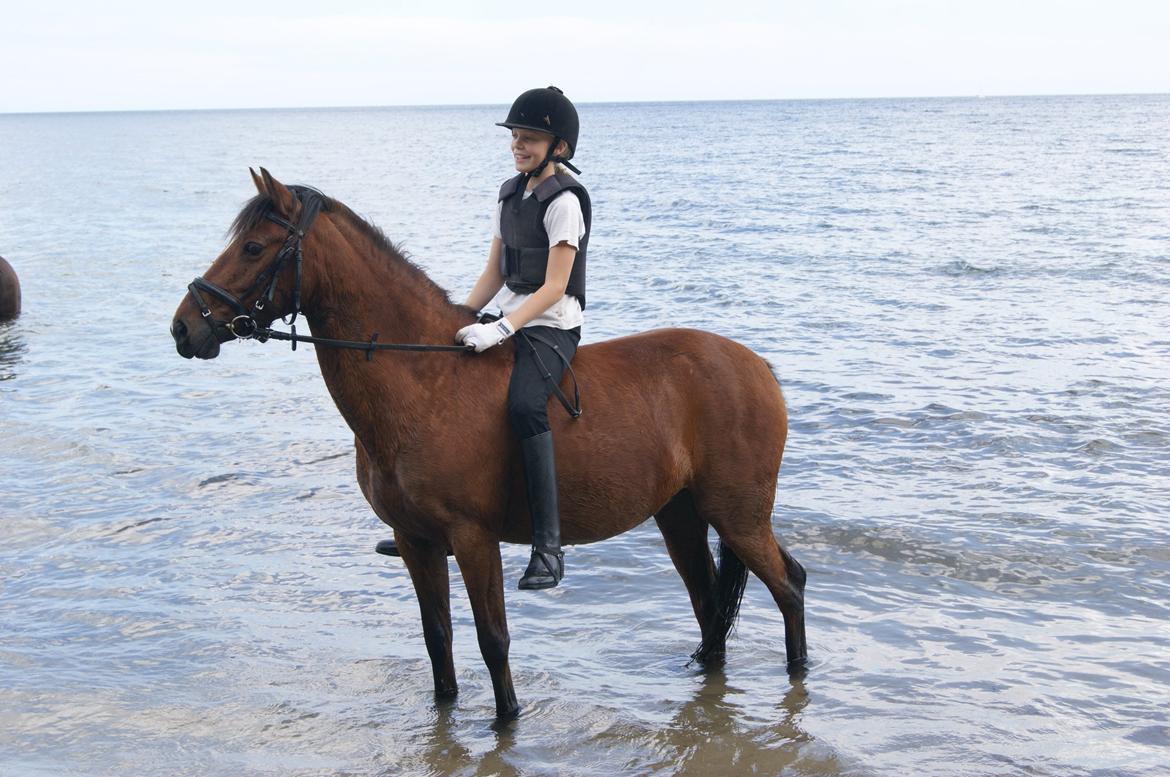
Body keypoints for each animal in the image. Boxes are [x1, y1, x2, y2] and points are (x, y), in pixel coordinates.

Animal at [169, 167, 804, 720]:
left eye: (254, 248)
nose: (183, 327)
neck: (424, 379)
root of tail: (757, 368)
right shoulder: (417, 541)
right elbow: (438, 639)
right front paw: (446, 713)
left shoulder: (473, 539)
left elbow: (492, 639)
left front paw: (506, 723)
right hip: (680, 515)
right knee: (710, 602)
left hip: (737, 514)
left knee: (788, 584)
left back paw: (797, 673)